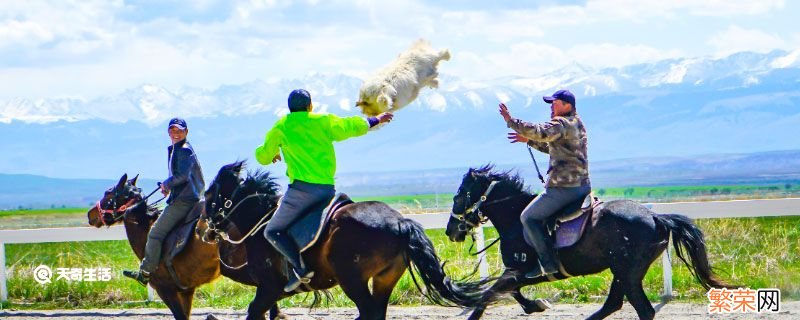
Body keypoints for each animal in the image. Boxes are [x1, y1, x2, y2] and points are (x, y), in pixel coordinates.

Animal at [202, 162, 488, 320]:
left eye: (209, 195)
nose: (206, 230)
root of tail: (399, 221)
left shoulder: (270, 287)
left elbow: (254, 312)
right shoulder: (274, 292)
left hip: (352, 278)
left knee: (369, 312)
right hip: (385, 278)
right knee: (376, 313)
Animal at [444, 166, 736, 320]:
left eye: (458, 196)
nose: (450, 231)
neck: (516, 219)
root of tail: (655, 216)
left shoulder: (519, 271)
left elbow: (489, 293)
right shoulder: (517, 274)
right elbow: (509, 292)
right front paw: (535, 305)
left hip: (627, 272)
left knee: (639, 309)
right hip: (623, 272)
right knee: (614, 304)